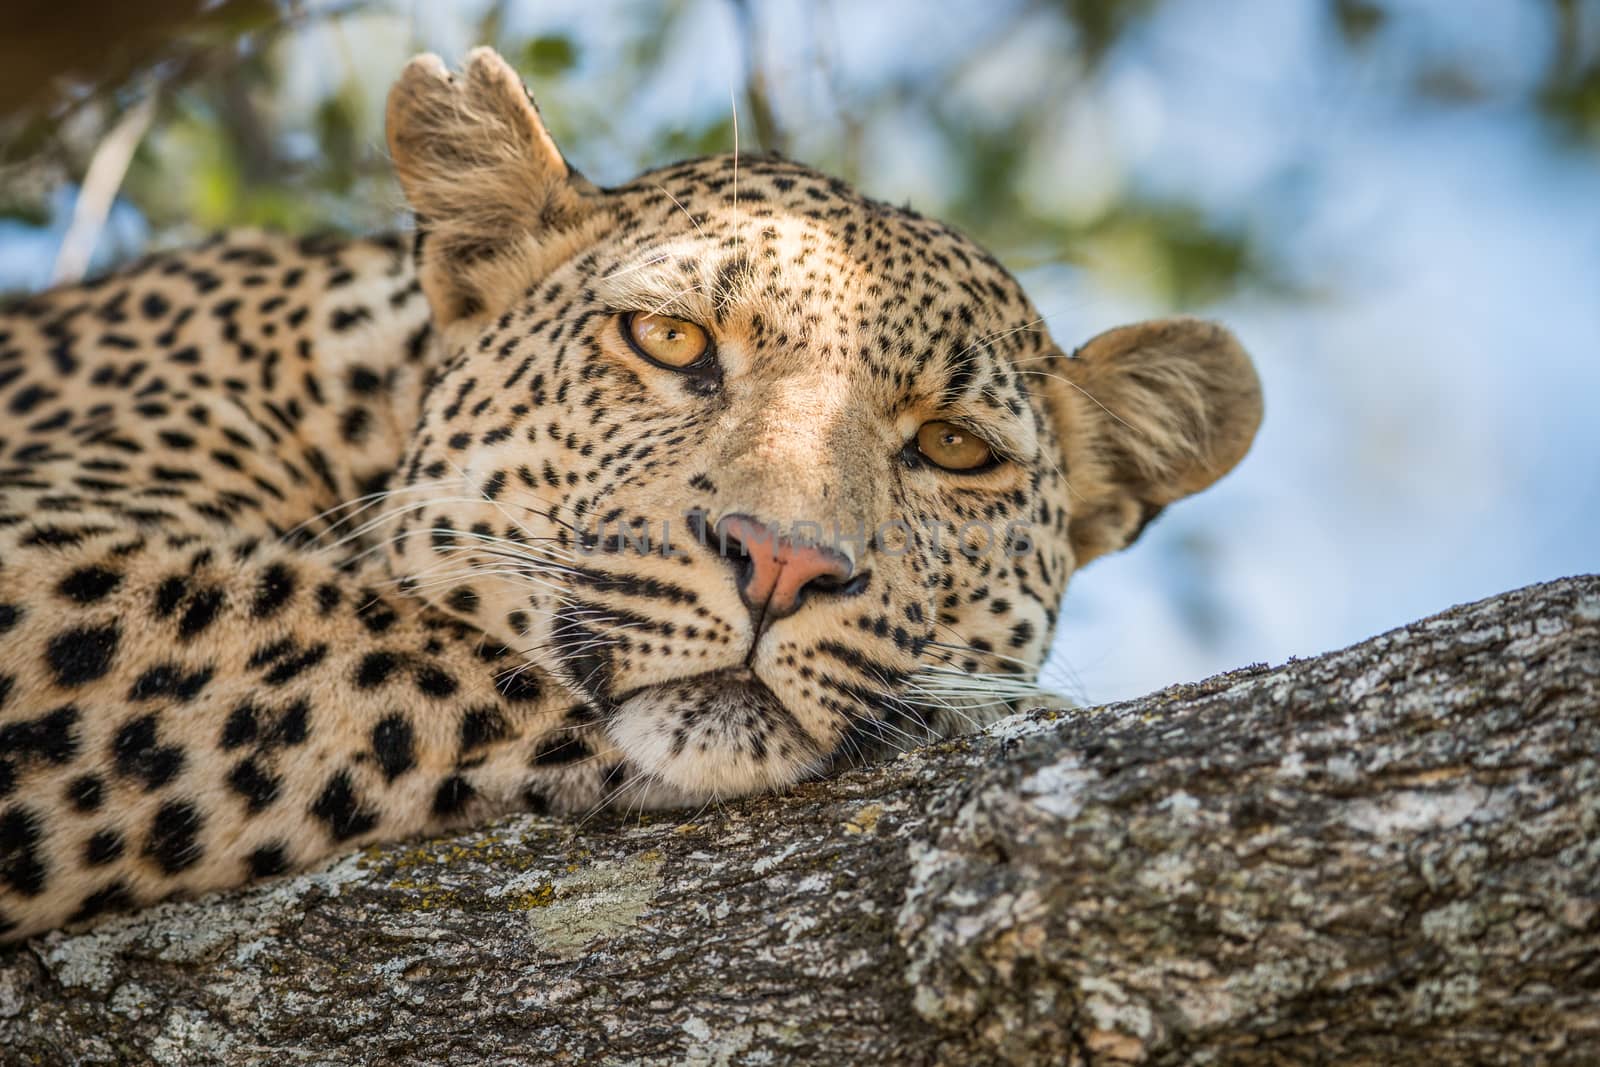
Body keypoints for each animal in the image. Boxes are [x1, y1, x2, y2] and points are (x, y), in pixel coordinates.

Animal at [0, 47, 1267, 940]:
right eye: (670, 339)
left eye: (953, 447)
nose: (782, 560)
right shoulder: (48, 556)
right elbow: (385, 645)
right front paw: (993, 715)